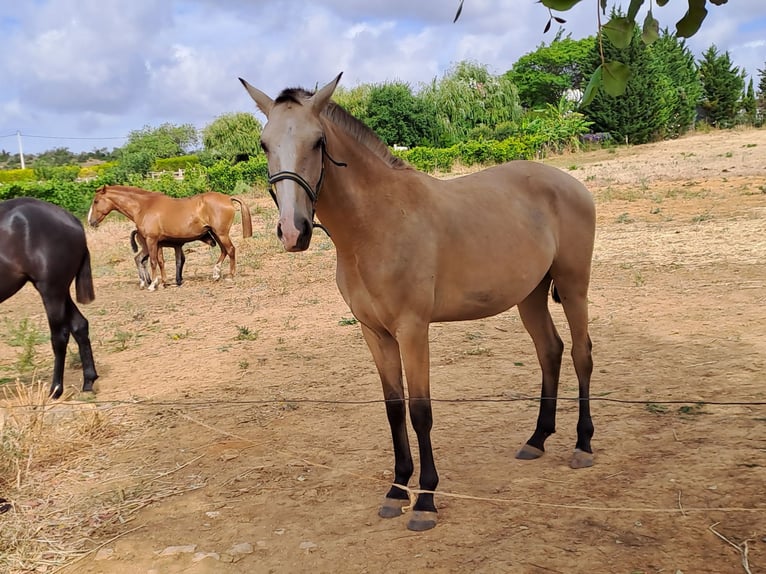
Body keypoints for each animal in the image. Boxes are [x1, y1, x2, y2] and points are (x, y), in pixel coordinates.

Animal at [0, 198, 99, 400]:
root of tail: (71, 220)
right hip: (60, 291)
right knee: (79, 325)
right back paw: (88, 381)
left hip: (51, 290)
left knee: (59, 336)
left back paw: (56, 389)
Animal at [87, 187, 255, 290]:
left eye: (96, 201)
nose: (90, 221)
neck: (144, 207)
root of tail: (228, 199)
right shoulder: (158, 243)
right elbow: (160, 261)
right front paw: (161, 282)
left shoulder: (152, 240)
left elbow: (154, 262)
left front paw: (153, 285)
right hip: (216, 233)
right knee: (224, 251)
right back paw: (216, 274)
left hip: (221, 233)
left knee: (231, 250)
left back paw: (230, 276)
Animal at [240, 74, 600, 532]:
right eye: (264, 144)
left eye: (318, 141)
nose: (293, 231)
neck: (376, 224)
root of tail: (571, 183)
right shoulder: (374, 333)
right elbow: (394, 410)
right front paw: (397, 491)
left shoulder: (412, 330)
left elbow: (420, 411)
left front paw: (425, 500)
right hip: (530, 295)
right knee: (550, 352)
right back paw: (537, 439)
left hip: (573, 287)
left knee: (581, 353)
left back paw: (583, 444)